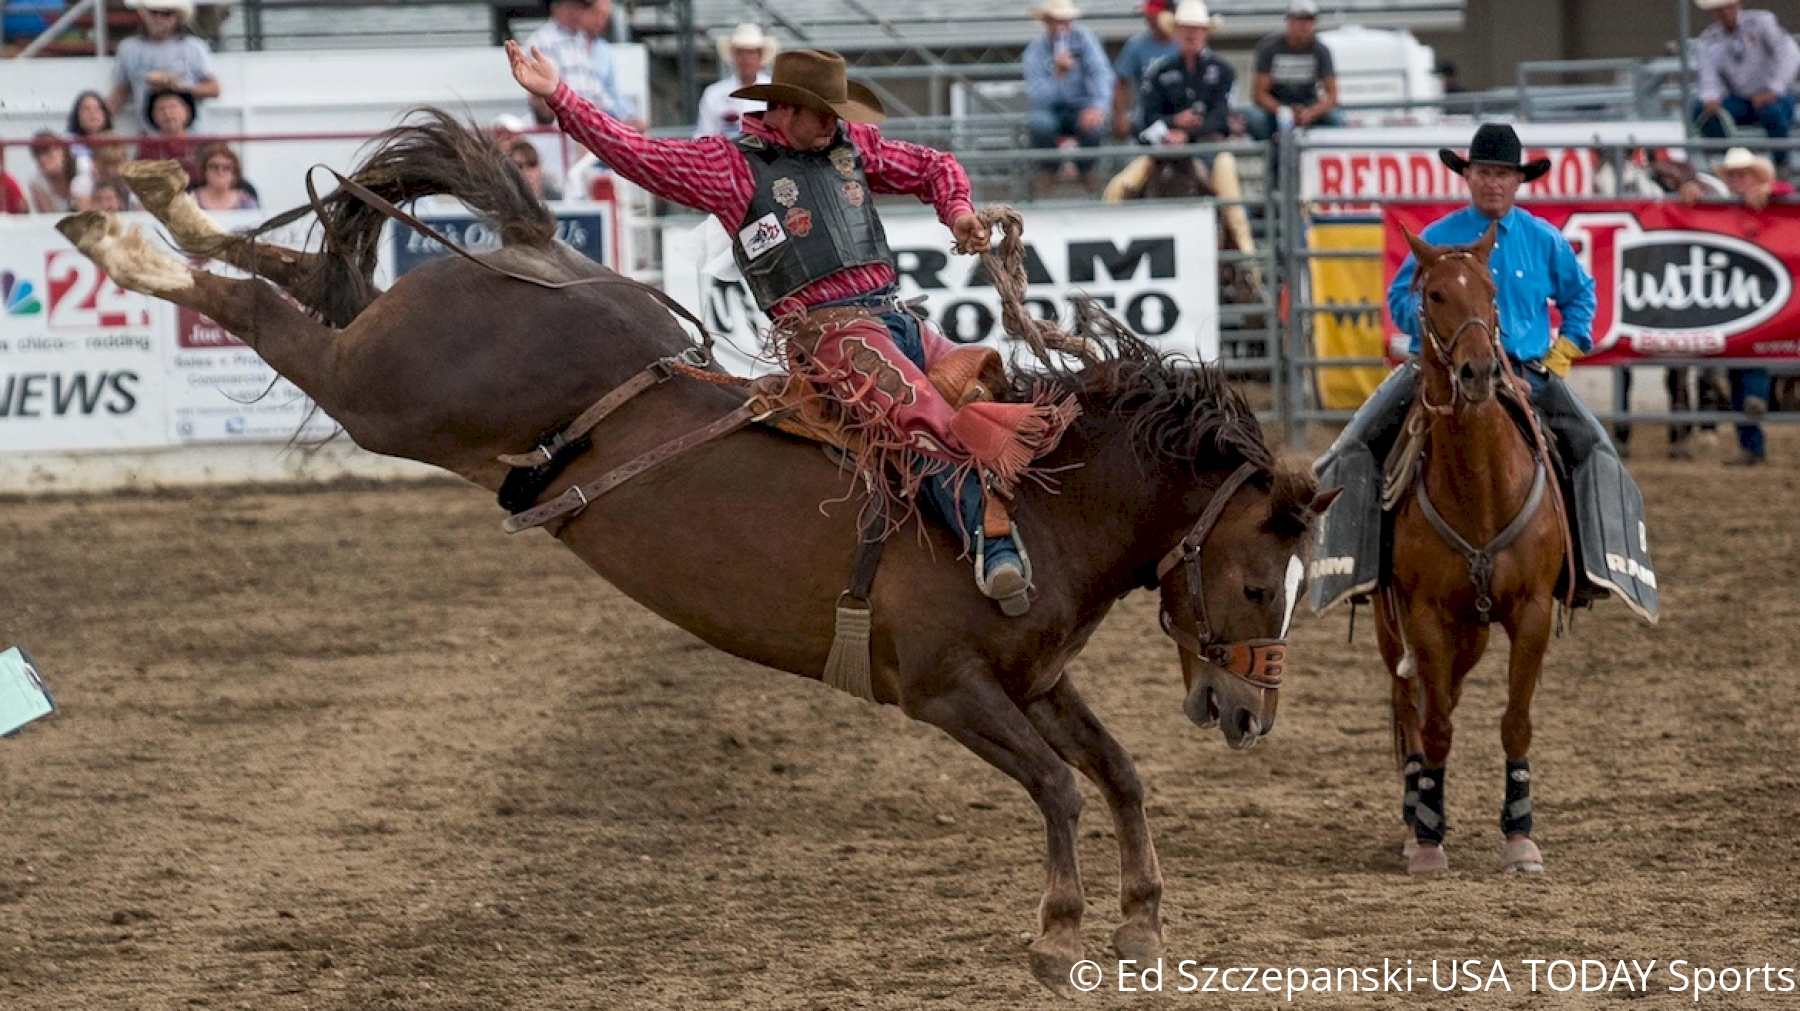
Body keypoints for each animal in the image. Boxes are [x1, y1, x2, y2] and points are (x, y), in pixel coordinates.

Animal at [1382, 223, 1569, 877]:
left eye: (1490, 290)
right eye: (1434, 294)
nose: (1479, 371)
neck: (1481, 491)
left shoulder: (1530, 612)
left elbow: (1515, 723)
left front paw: (1521, 837)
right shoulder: (1424, 616)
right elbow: (1436, 726)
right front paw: (1428, 838)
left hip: (1474, 632)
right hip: (1396, 628)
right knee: (1409, 703)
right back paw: (1415, 812)